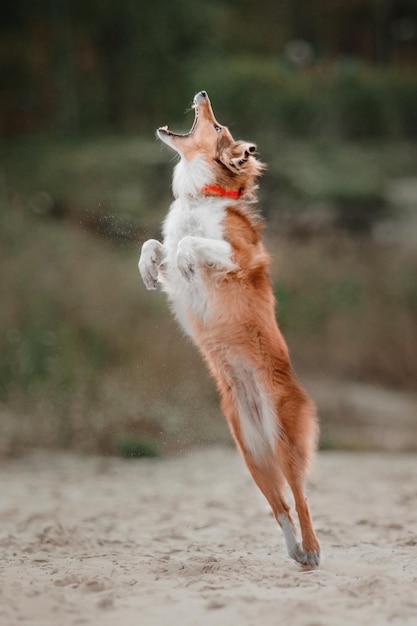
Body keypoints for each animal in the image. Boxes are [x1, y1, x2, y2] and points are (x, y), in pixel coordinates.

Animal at [138, 91, 320, 564]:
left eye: (218, 126)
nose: (202, 94)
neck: (202, 196)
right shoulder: (170, 264)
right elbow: (155, 244)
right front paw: (147, 269)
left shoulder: (236, 256)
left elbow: (190, 243)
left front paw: (188, 260)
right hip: (252, 453)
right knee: (280, 506)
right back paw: (294, 550)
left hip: (285, 443)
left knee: (300, 497)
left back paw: (312, 550)